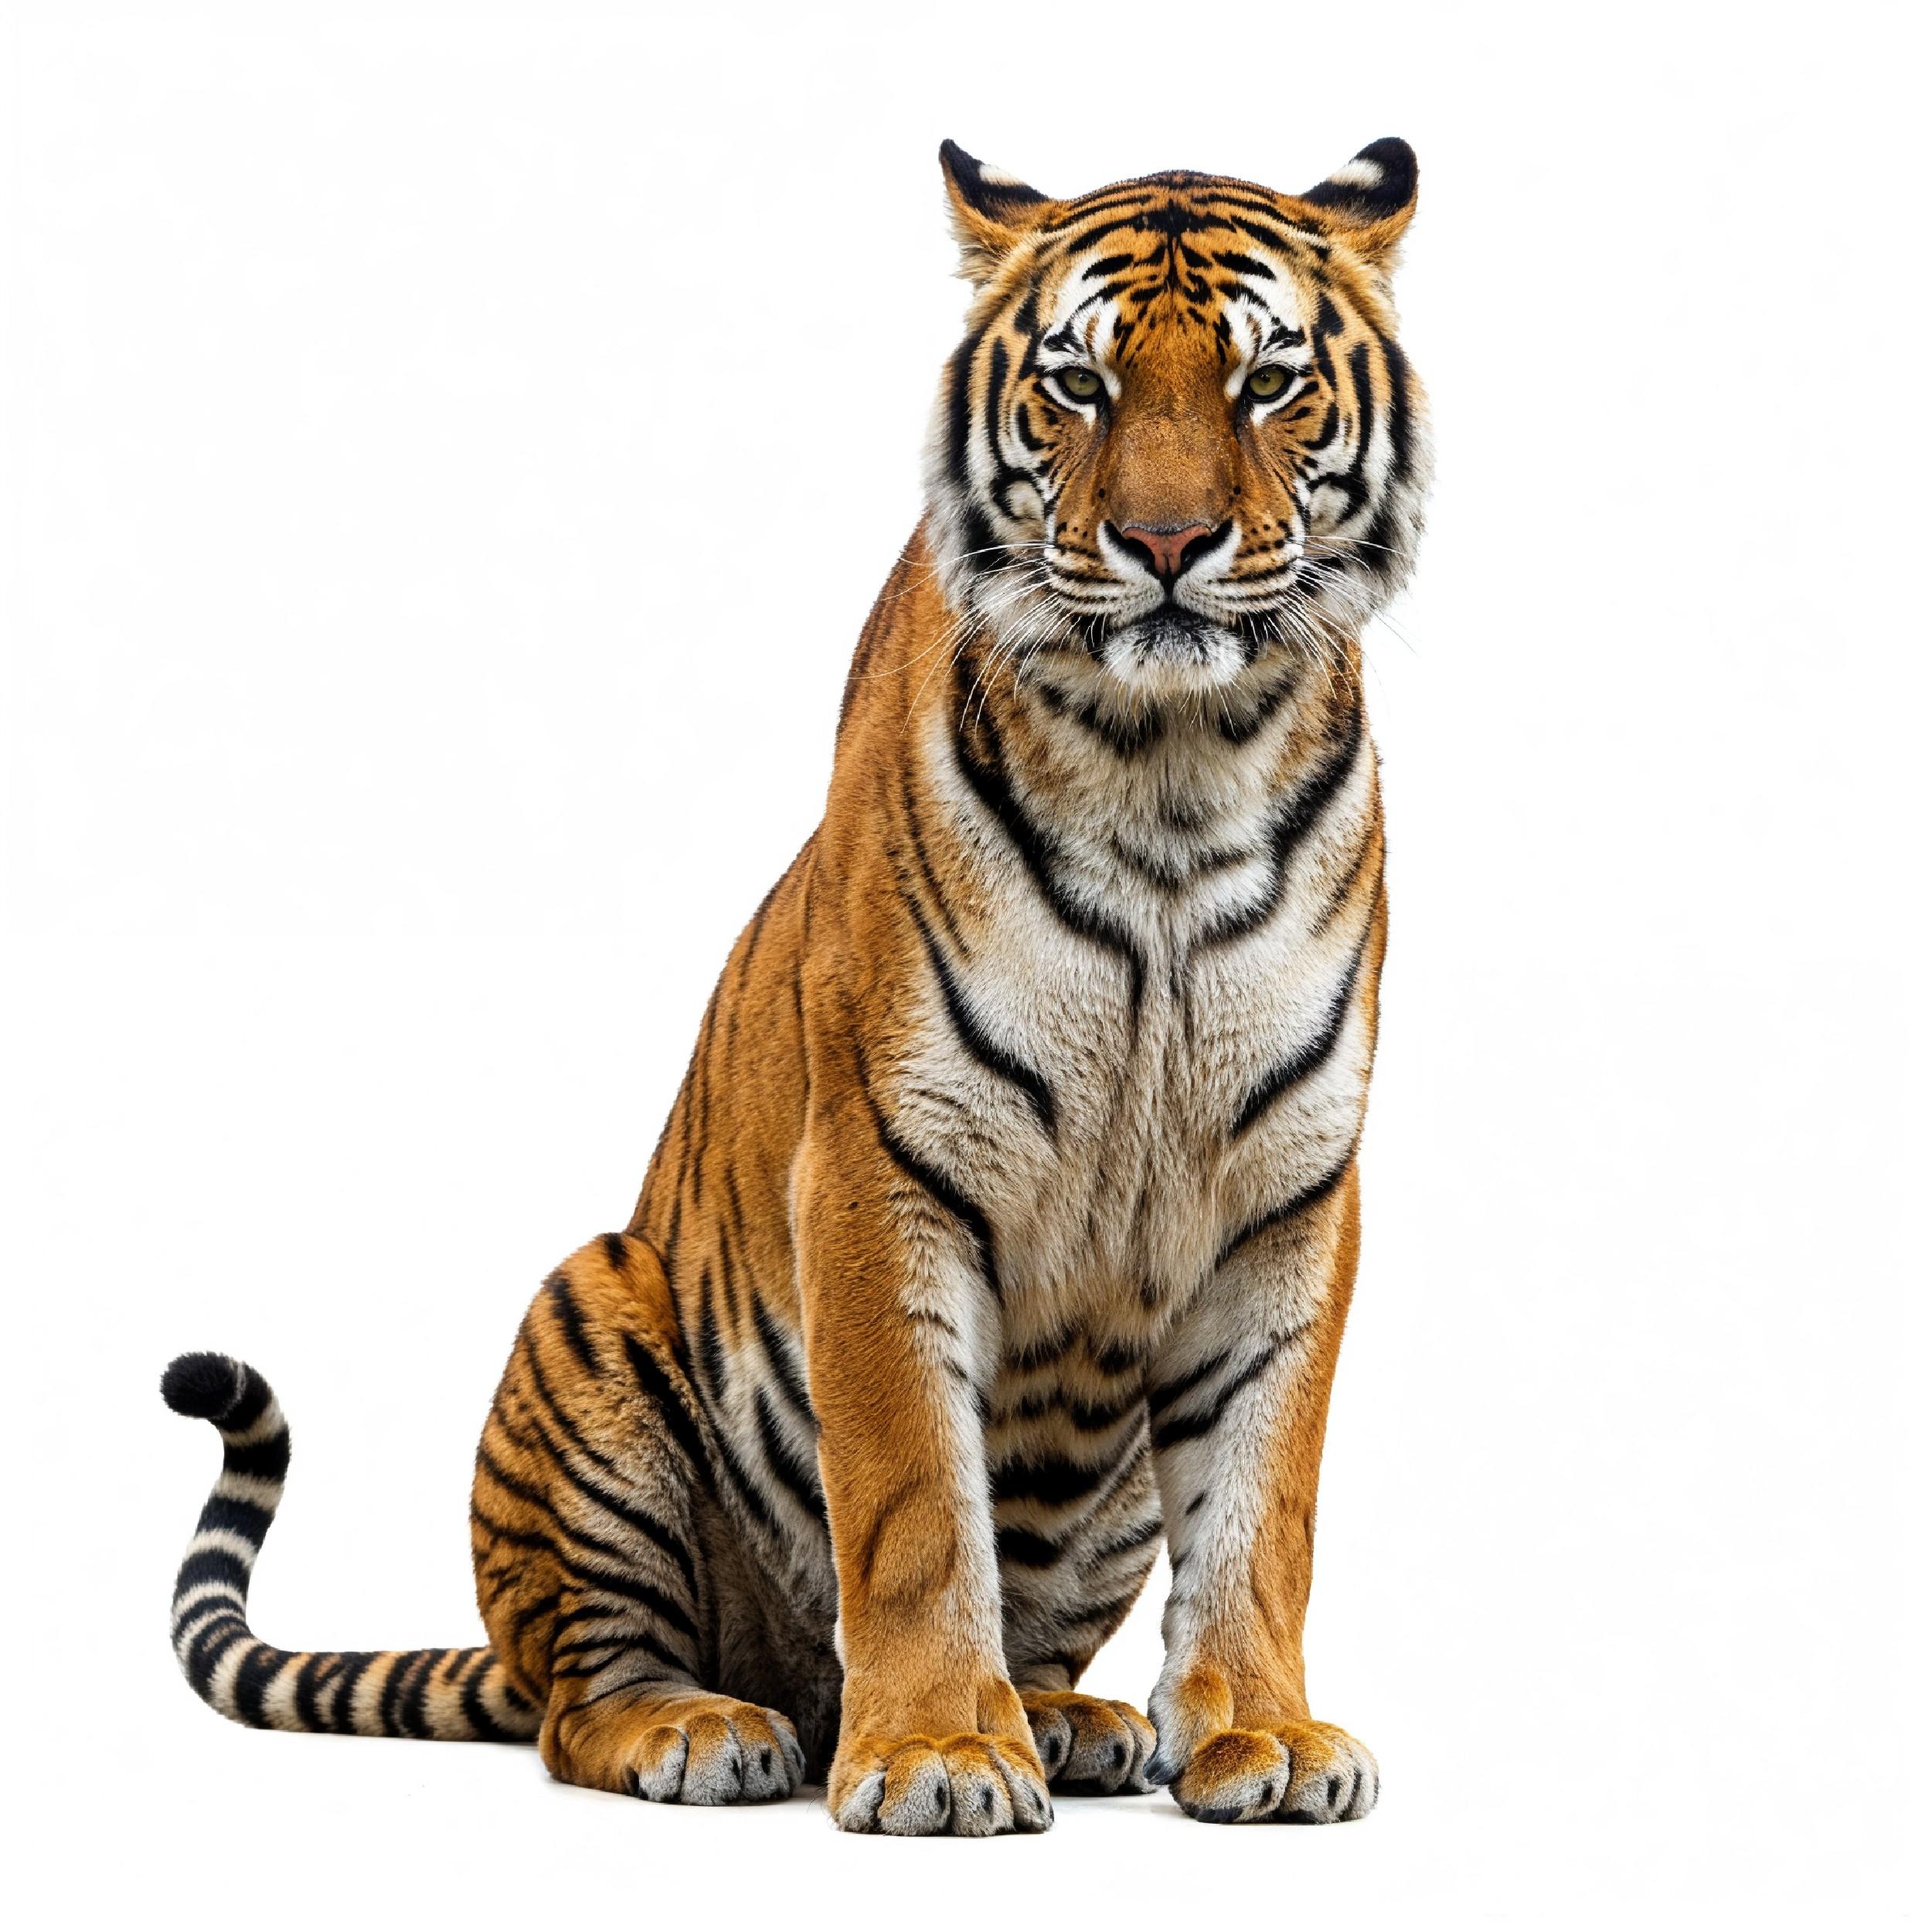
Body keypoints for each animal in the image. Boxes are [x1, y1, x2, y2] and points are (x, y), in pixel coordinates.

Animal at [161, 134, 1430, 1835]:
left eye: (1266, 381)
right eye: (1080, 383)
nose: (1167, 546)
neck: (1174, 770)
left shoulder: (1288, 1188)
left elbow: (1260, 1496)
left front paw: (1265, 1733)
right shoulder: (884, 1158)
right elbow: (911, 1494)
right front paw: (939, 1749)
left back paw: (1064, 1715)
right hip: (592, 1315)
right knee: (577, 1698)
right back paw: (712, 1726)